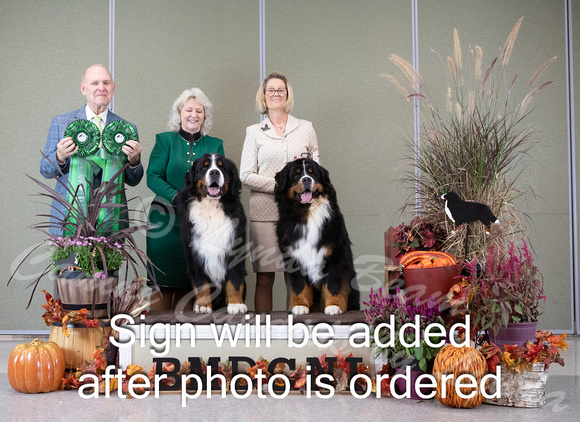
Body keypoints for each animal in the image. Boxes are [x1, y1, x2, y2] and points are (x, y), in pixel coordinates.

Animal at [174, 153, 247, 314]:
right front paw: (202, 305)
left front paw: (236, 304)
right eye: (204, 167)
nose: (214, 172)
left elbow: (234, 281)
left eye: (222, 167)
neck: (212, 207)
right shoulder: (195, 252)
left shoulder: (234, 249)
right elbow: (202, 284)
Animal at [274, 157, 358, 314]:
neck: (307, 213)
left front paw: (334, 306)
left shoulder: (335, 254)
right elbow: (299, 286)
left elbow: (334, 283)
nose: (307, 179)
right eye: (296, 174)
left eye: (313, 173)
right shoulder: (294, 257)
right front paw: (300, 306)